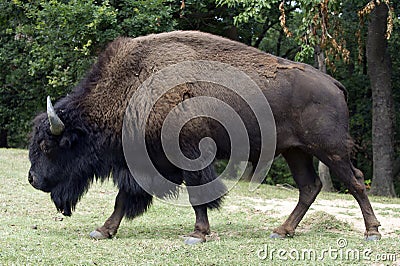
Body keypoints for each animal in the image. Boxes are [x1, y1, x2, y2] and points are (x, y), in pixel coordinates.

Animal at [28, 30, 382, 242]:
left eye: (47, 146)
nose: (32, 179)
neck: (133, 86)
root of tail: (333, 84)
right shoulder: (143, 165)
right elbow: (124, 198)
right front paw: (103, 230)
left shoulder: (189, 156)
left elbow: (198, 195)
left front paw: (197, 234)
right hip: (296, 151)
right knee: (309, 187)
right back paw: (281, 231)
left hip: (330, 149)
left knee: (355, 181)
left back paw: (372, 233)